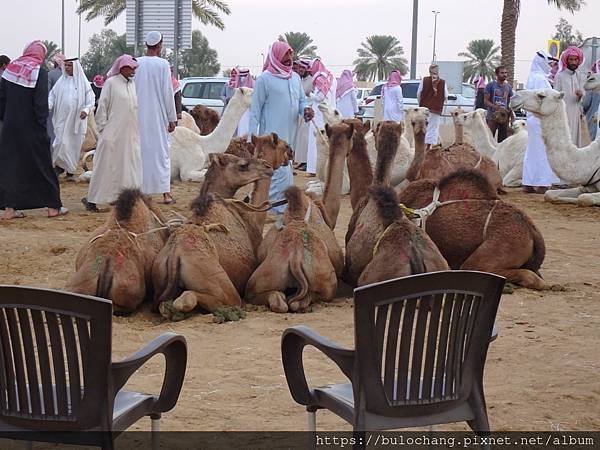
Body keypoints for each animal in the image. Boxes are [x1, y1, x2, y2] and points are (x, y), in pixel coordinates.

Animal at [243, 123, 350, 312]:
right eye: (284, 146)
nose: (291, 152)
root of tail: (294, 258)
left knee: (278, 299)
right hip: (327, 285)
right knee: (300, 300)